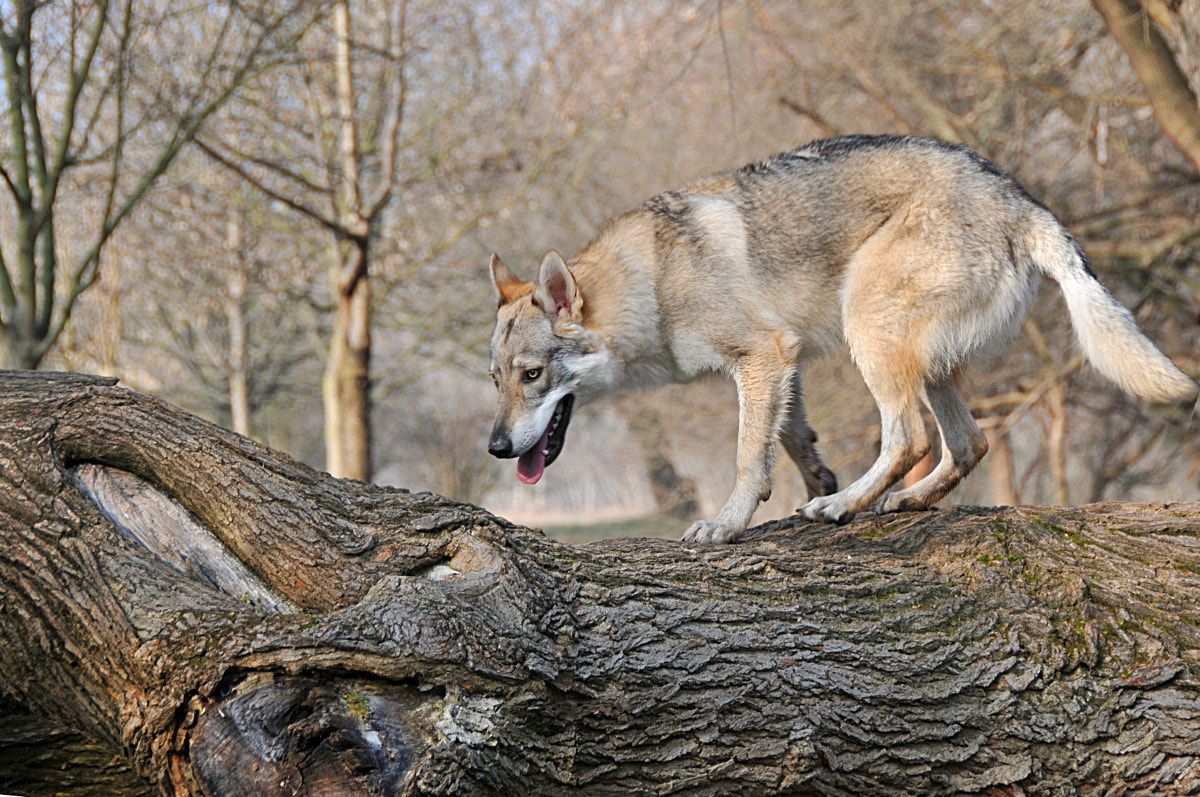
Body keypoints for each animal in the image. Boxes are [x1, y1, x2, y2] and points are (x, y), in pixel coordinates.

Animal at [486, 134, 1198, 544]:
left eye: (532, 375)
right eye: (497, 381)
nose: (495, 448)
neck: (650, 282)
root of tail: (1022, 200)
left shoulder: (762, 355)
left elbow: (746, 455)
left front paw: (729, 523)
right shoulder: (784, 359)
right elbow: (789, 439)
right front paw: (812, 483)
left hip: (870, 329)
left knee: (910, 436)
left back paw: (847, 507)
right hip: (920, 358)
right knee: (968, 443)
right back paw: (894, 502)